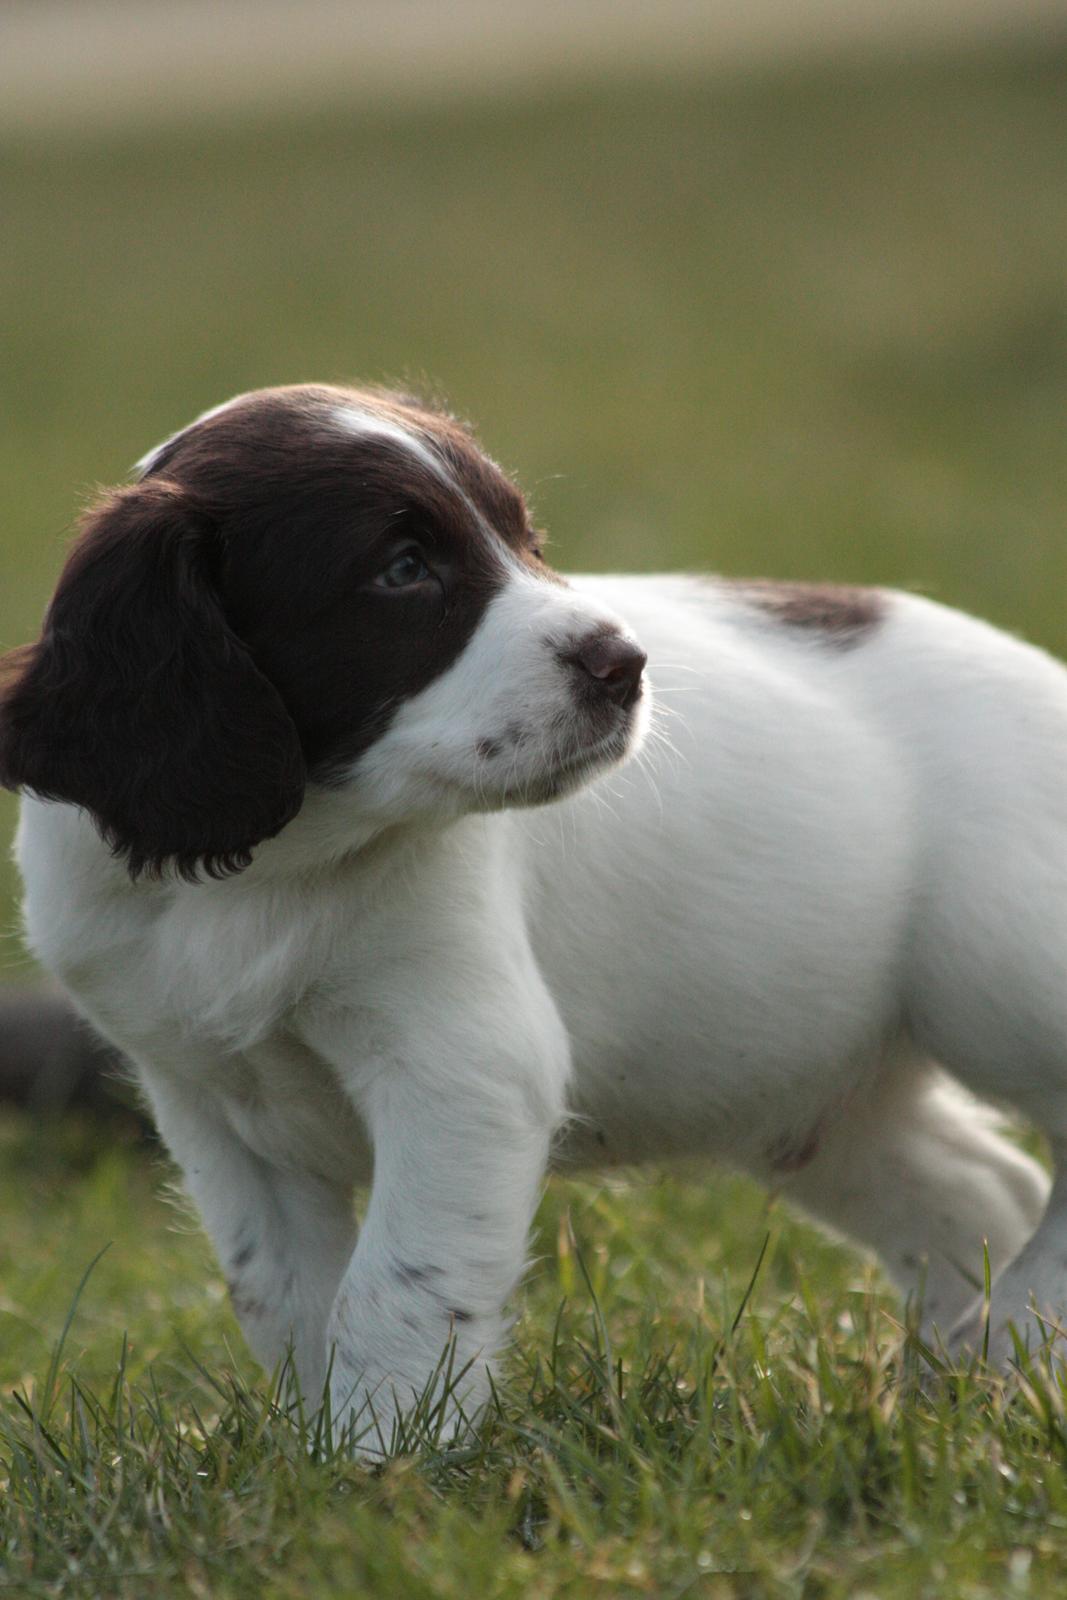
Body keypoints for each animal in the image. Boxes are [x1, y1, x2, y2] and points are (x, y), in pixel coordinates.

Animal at [2, 387, 1067, 1452]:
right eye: (402, 569)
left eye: (525, 539)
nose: (625, 664)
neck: (271, 874)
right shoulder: (209, 1099)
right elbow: (286, 1294)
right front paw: (316, 1454)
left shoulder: (459, 1068)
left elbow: (398, 1288)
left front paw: (382, 1461)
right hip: (806, 1087)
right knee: (977, 1191)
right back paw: (958, 1384)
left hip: (993, 975)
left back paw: (1013, 1339)